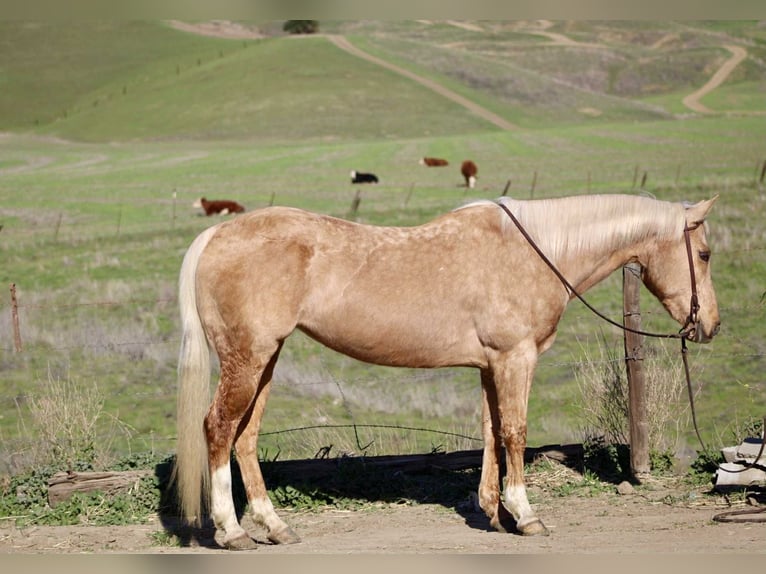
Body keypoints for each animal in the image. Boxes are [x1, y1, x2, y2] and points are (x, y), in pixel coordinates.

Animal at [172, 193, 720, 549]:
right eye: (705, 253)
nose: (710, 324)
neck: (535, 251)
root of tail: (216, 234)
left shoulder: (492, 364)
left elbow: (492, 431)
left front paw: (494, 513)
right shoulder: (516, 358)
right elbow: (515, 431)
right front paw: (525, 515)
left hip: (265, 360)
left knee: (244, 438)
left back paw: (275, 527)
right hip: (248, 359)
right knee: (218, 429)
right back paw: (233, 531)